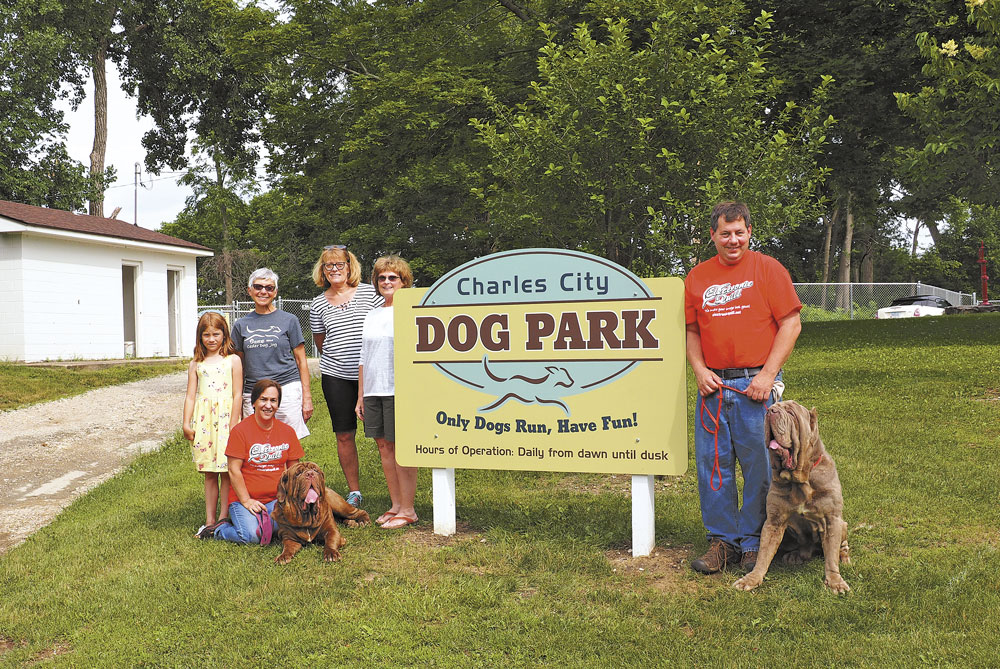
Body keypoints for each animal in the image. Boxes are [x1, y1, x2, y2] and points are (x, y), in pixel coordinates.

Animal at [736, 400, 852, 592]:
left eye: (791, 413)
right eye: (772, 408)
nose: (770, 411)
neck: (800, 480)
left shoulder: (832, 520)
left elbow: (831, 557)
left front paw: (835, 581)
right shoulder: (773, 522)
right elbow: (764, 553)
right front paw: (752, 578)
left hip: (842, 524)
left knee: (840, 547)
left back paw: (843, 557)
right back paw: (795, 555)